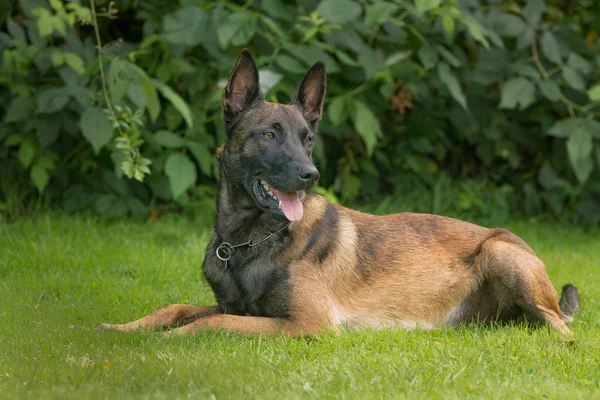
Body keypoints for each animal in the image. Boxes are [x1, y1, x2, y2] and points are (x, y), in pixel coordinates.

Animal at [96, 49, 580, 338]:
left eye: (308, 138)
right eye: (269, 135)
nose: (310, 175)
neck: (248, 242)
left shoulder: (305, 325)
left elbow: (212, 321)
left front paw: (170, 341)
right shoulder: (241, 308)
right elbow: (176, 307)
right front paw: (124, 329)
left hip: (500, 253)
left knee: (562, 329)